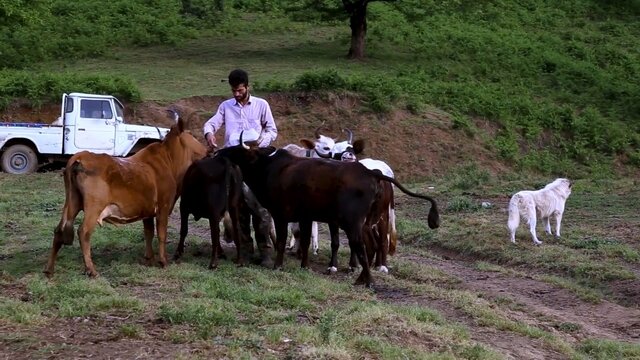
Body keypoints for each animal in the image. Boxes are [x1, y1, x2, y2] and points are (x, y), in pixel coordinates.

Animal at [43, 114, 206, 278]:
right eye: (191, 134)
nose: (207, 148)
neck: (169, 161)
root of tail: (80, 156)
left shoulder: (147, 211)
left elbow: (149, 233)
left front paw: (150, 259)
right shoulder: (164, 207)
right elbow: (161, 234)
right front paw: (163, 261)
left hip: (72, 202)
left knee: (59, 231)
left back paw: (49, 270)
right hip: (94, 206)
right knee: (83, 232)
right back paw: (91, 270)